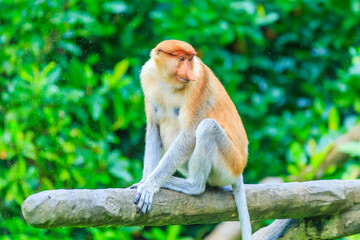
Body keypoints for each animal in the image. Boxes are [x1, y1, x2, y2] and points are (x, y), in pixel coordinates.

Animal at [131, 40, 252, 239]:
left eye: (190, 59)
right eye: (181, 59)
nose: (189, 74)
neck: (168, 82)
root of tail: (240, 168)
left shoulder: (199, 83)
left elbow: (189, 134)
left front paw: (148, 186)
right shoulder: (146, 77)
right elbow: (154, 127)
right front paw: (144, 181)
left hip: (230, 162)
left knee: (207, 128)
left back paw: (192, 185)